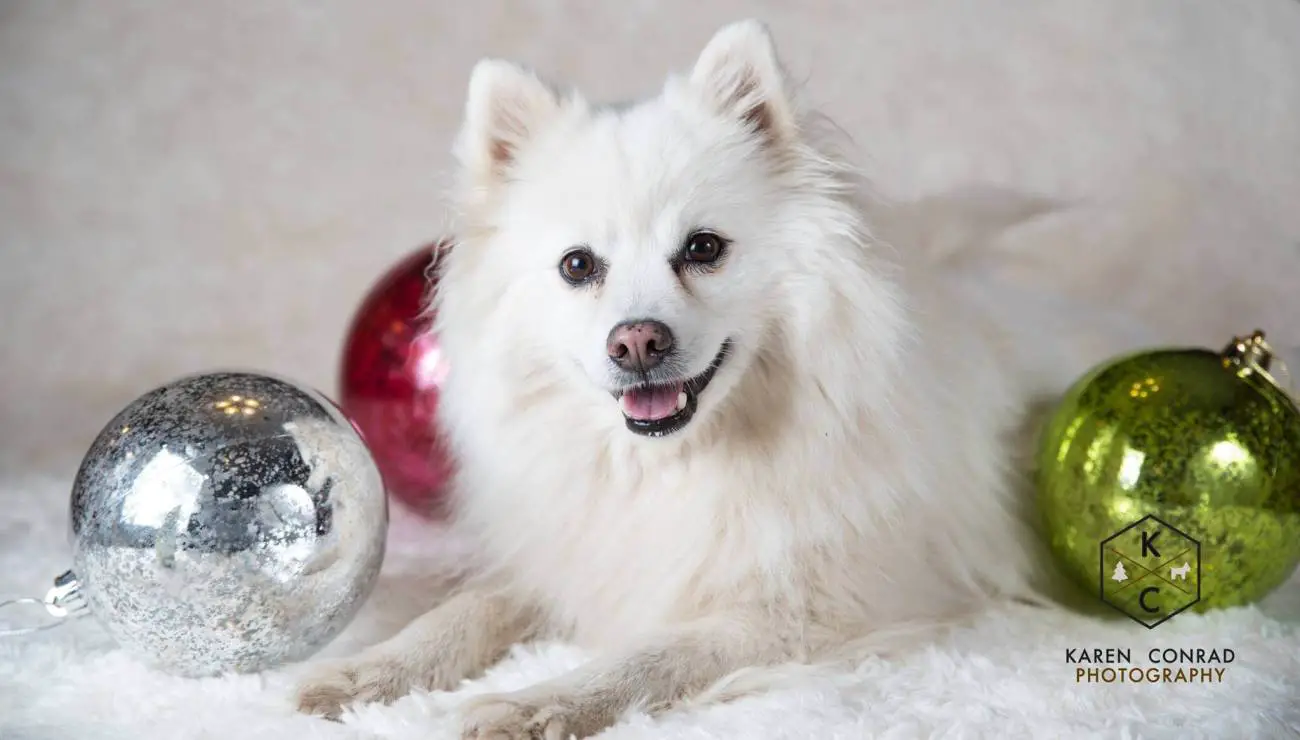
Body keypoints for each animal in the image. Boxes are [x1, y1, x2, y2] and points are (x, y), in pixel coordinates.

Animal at [297, 18, 1227, 738]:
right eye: (578, 266)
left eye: (703, 248)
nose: (637, 341)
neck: (677, 469)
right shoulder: (571, 558)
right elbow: (462, 611)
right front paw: (365, 675)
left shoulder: (813, 611)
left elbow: (653, 652)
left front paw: (539, 702)